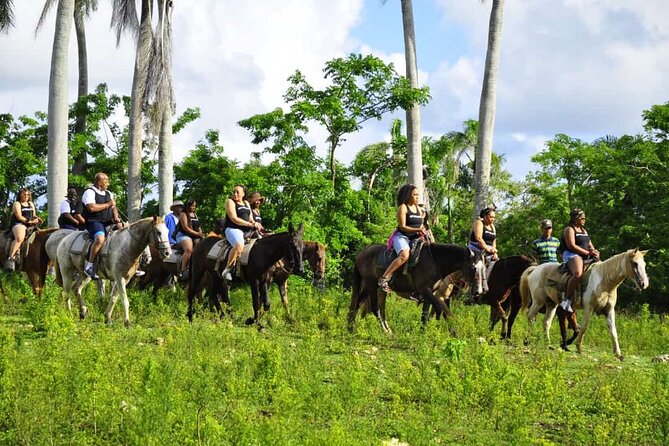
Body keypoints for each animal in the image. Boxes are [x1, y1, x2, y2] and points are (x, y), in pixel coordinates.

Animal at [344, 242, 486, 332]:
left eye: (483, 268)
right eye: (473, 268)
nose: (478, 291)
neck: (435, 262)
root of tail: (362, 253)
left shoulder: (430, 293)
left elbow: (425, 315)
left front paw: (423, 333)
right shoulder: (427, 292)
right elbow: (443, 310)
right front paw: (452, 331)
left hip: (370, 287)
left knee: (357, 303)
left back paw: (350, 328)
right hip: (372, 285)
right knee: (375, 308)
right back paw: (385, 331)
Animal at [520, 249, 648, 360]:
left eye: (644, 264)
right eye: (635, 263)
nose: (644, 284)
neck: (604, 280)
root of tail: (536, 269)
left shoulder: (609, 310)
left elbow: (613, 330)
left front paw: (618, 354)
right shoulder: (588, 307)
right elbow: (584, 326)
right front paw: (578, 347)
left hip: (551, 304)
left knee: (546, 322)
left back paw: (548, 344)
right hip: (538, 301)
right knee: (531, 316)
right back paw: (528, 340)